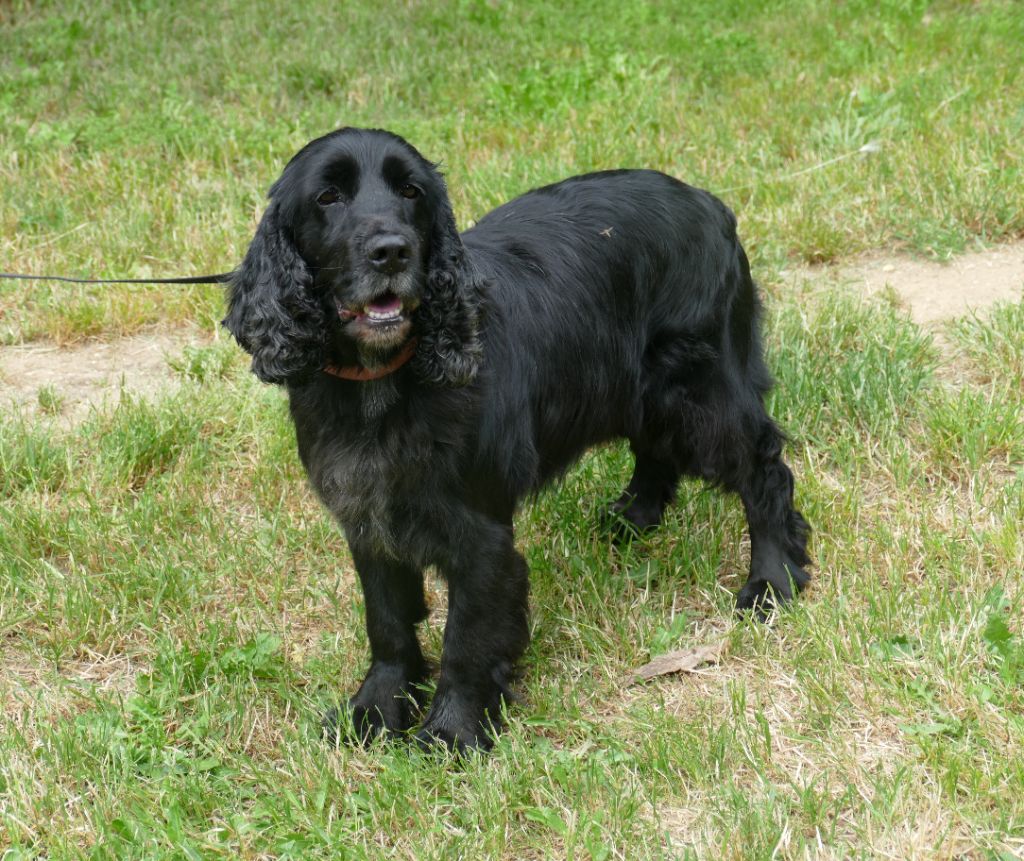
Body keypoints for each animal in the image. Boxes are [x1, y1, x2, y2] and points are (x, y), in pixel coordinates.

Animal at [222, 125, 806, 745]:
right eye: (328, 198)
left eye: (411, 191)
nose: (392, 251)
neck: (383, 381)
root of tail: (710, 204)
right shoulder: (369, 518)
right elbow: (388, 622)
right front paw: (376, 709)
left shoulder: (481, 535)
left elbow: (467, 636)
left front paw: (452, 733)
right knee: (655, 450)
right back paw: (633, 517)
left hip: (702, 395)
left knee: (765, 473)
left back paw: (772, 583)